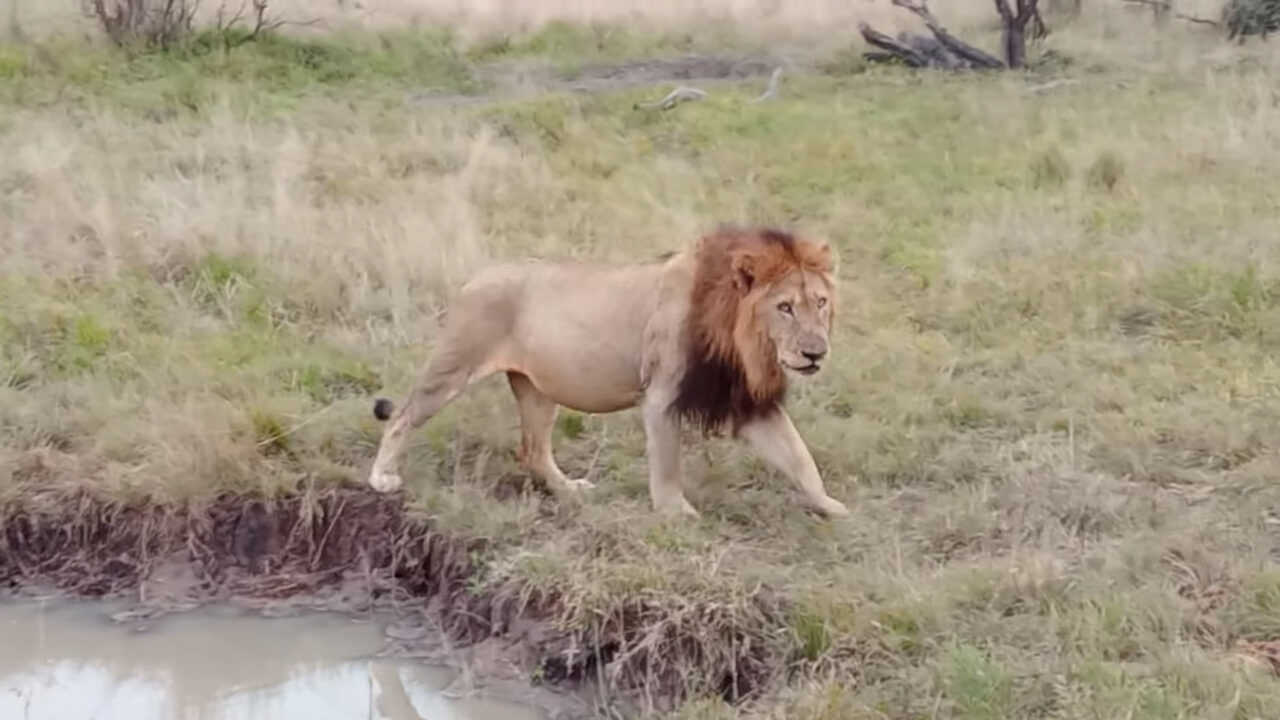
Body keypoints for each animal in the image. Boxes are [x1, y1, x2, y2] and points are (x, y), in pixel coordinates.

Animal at [368, 224, 849, 515]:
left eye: (820, 303)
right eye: (784, 307)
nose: (815, 353)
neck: (741, 343)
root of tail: (473, 277)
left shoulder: (746, 400)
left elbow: (799, 456)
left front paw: (832, 508)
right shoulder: (661, 395)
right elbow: (668, 463)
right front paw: (675, 512)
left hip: (538, 389)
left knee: (533, 451)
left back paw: (569, 490)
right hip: (454, 366)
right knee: (402, 417)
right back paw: (381, 478)